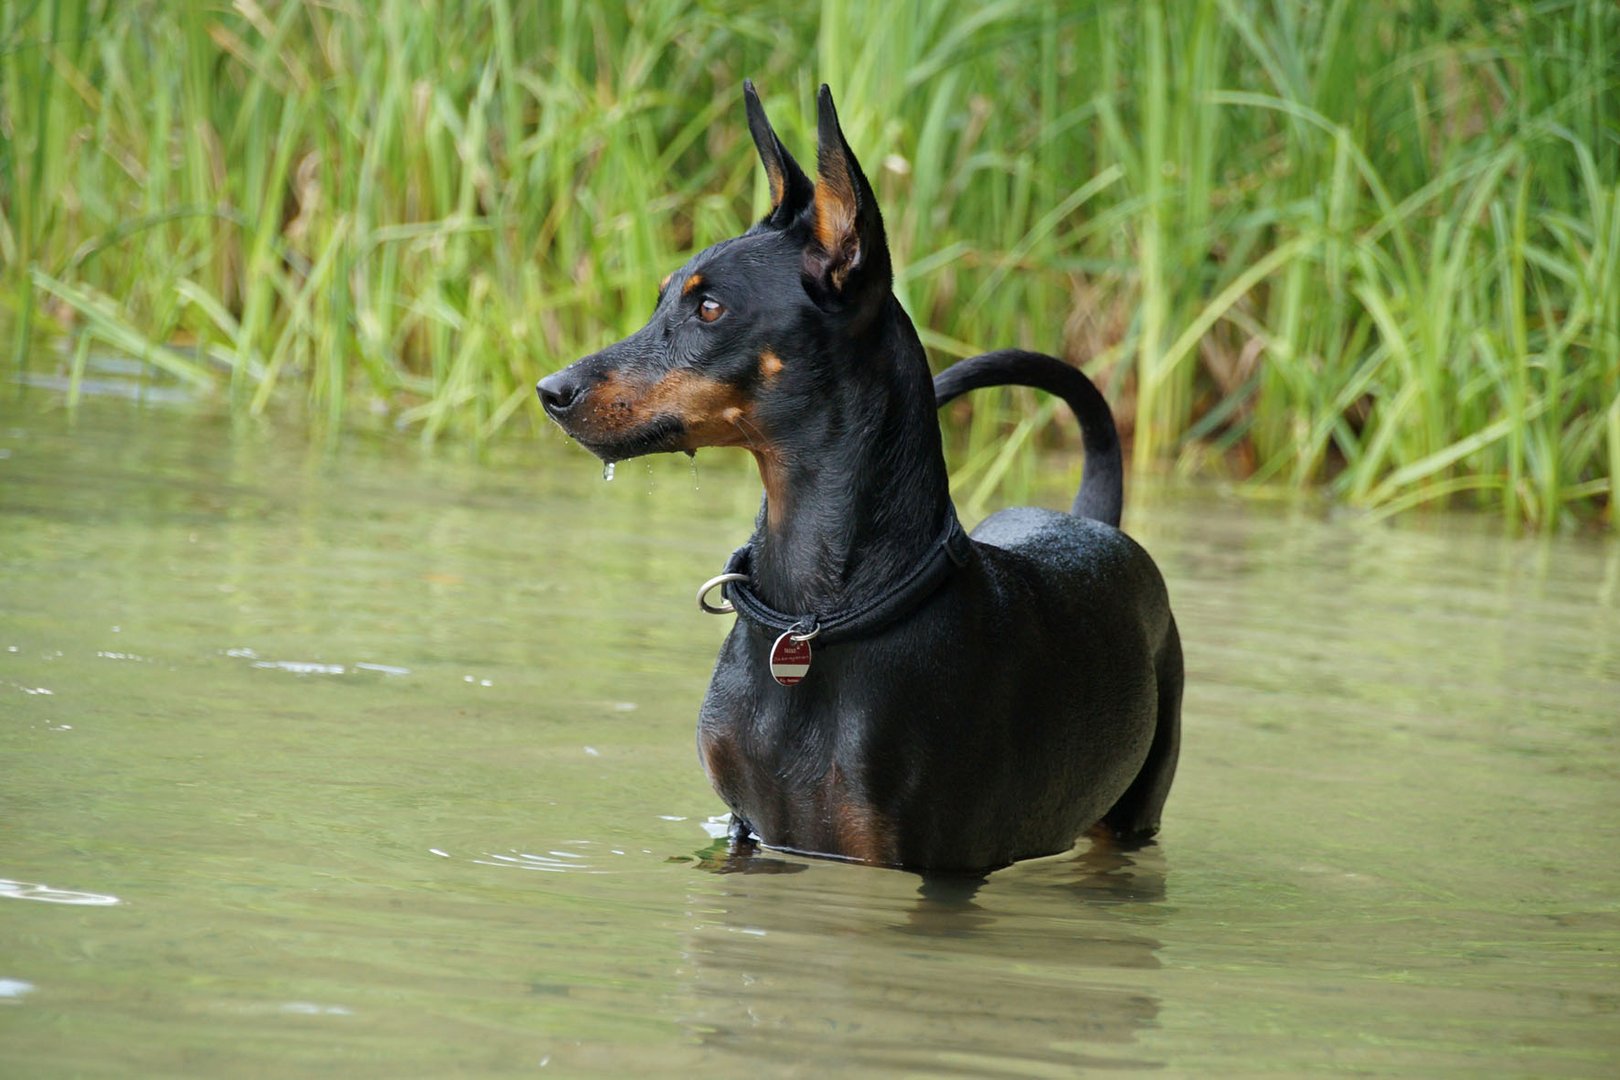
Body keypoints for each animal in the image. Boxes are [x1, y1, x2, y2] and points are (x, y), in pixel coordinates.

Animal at [537, 82, 1185, 867]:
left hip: (1135, 809)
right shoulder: (750, 827)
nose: (551, 391)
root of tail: (1093, 518)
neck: (812, 620)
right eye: (664, 296)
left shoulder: (920, 861)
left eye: (710, 307)